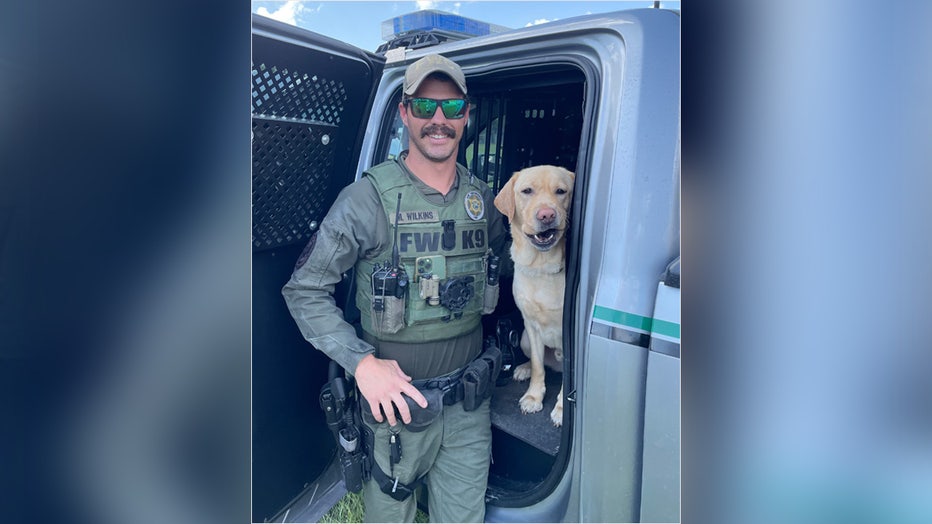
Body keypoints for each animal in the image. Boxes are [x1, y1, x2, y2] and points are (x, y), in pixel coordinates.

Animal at [496, 165, 576, 426]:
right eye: (527, 191)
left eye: (561, 191)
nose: (547, 215)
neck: (542, 266)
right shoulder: (530, 324)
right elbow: (539, 367)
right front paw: (533, 396)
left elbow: (568, 381)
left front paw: (561, 409)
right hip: (522, 338)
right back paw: (523, 368)